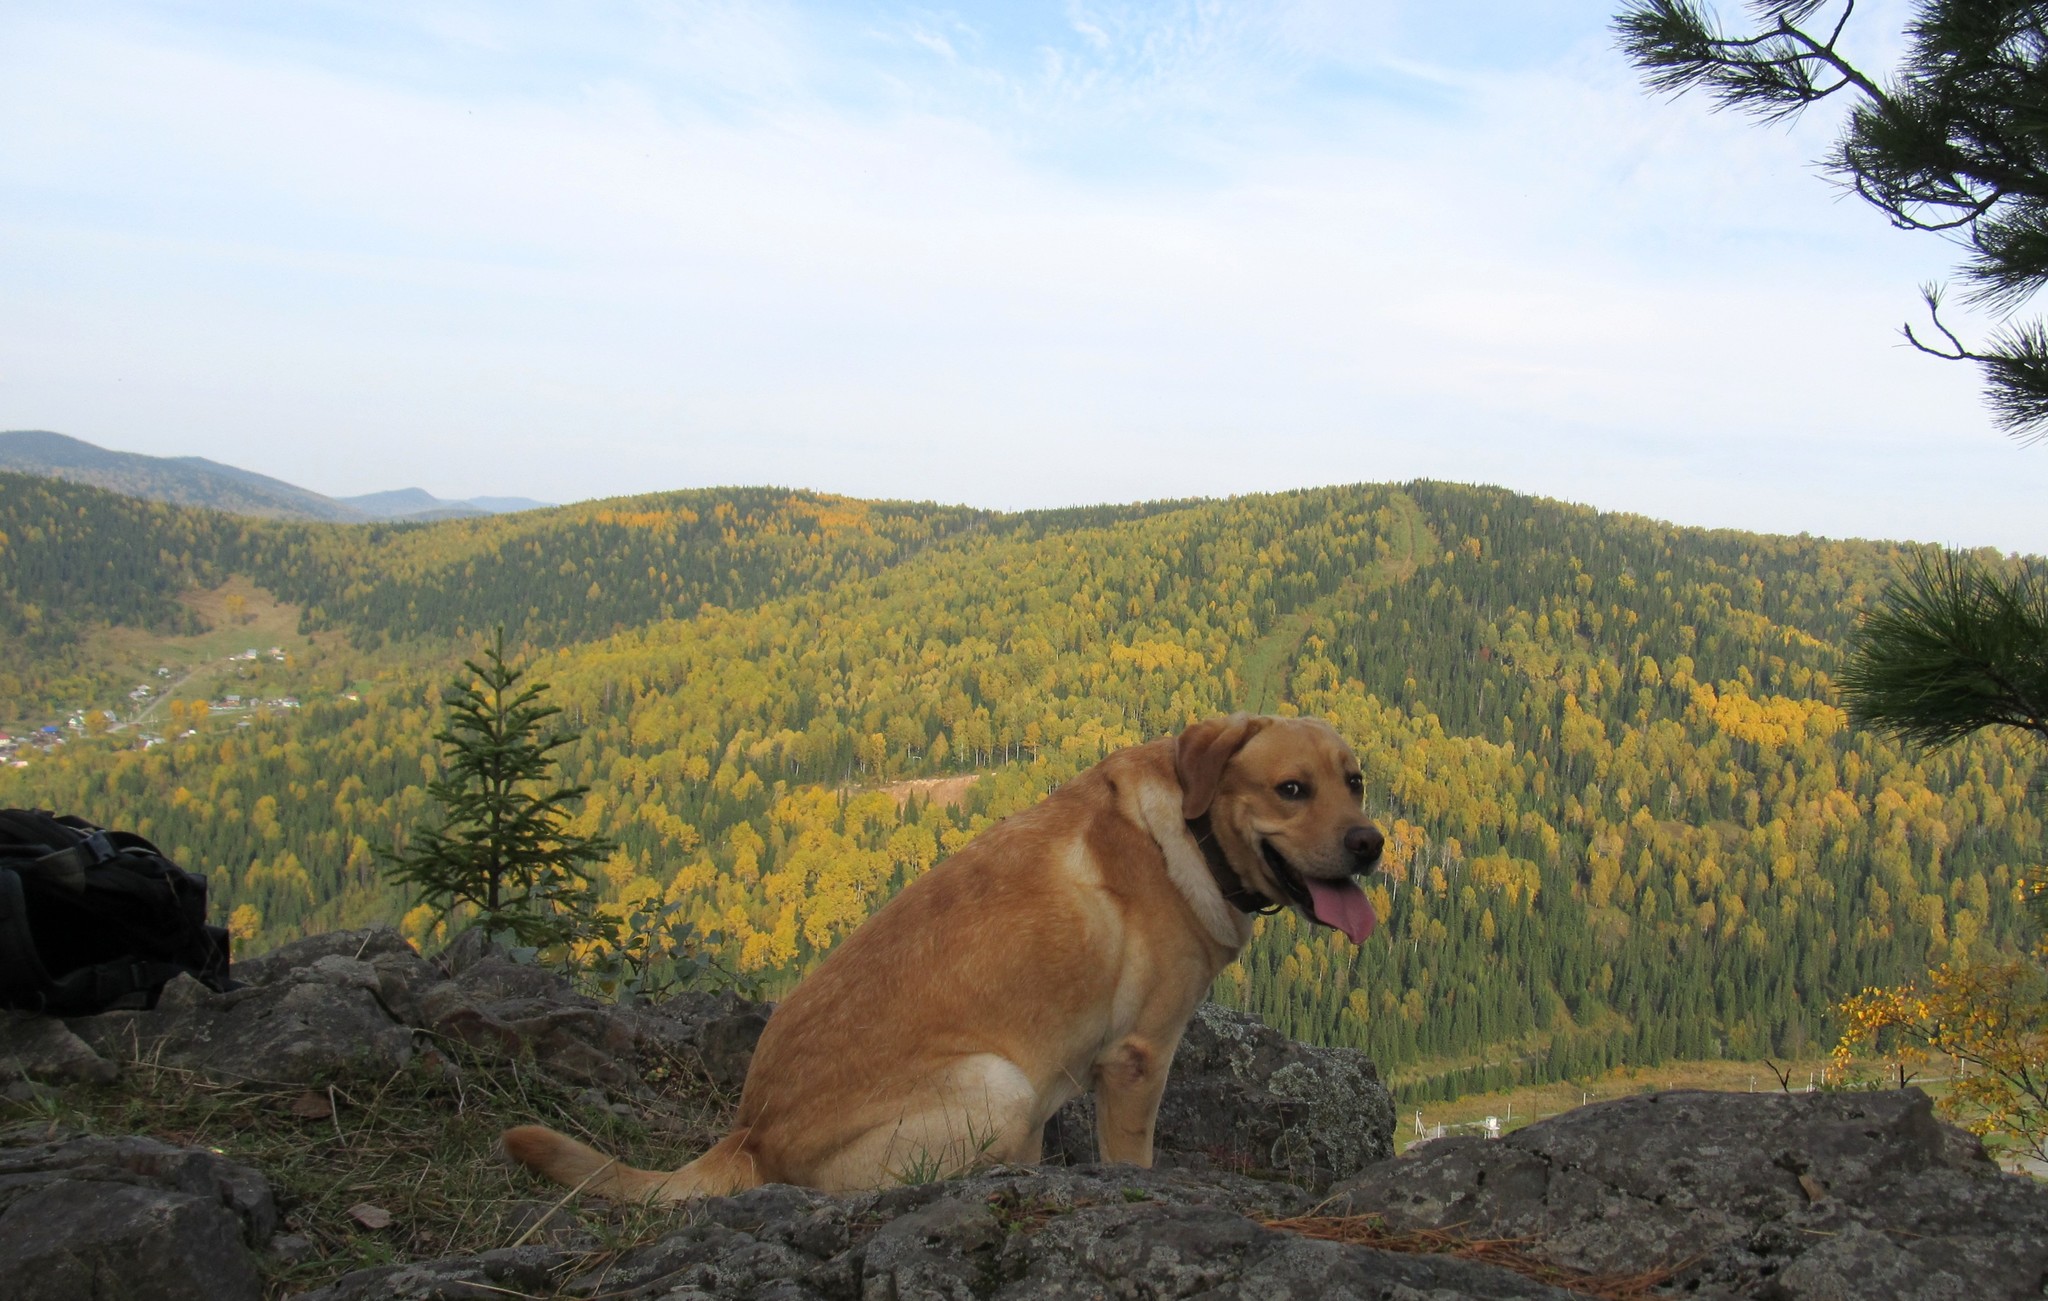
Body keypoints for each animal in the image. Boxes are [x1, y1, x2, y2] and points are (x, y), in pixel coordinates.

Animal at [503, 712, 1384, 1204]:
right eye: (1292, 789)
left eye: (1356, 781)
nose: (1370, 844)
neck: (1194, 833)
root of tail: (749, 1134)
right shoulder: (1138, 1059)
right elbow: (1135, 1155)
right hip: (998, 1082)